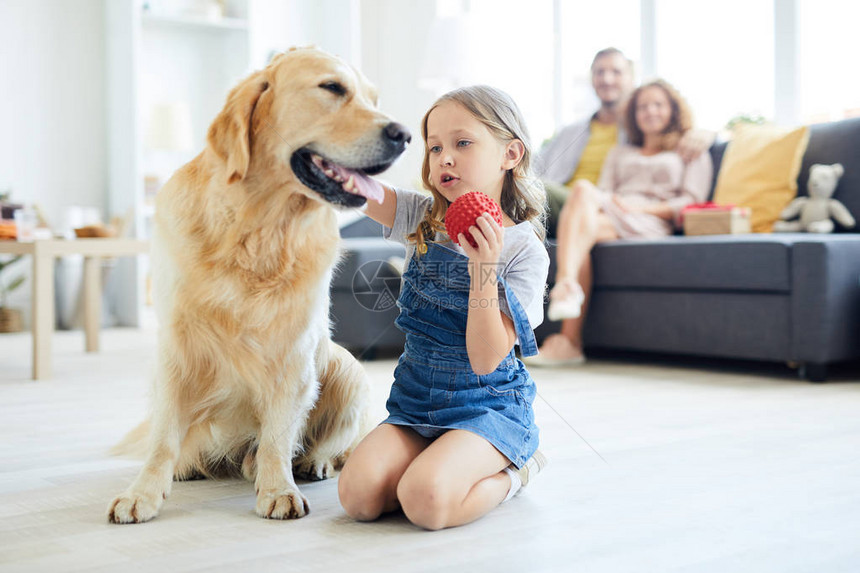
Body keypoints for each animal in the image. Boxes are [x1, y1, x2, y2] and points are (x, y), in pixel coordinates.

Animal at [107, 48, 410, 524]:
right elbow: (163, 437)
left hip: (346, 371)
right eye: (332, 88)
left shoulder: (293, 351)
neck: (258, 229)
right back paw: (189, 466)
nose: (405, 134)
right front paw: (143, 492)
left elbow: (277, 434)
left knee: (327, 443)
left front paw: (278, 488)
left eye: (373, 98)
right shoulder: (176, 346)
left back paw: (310, 463)